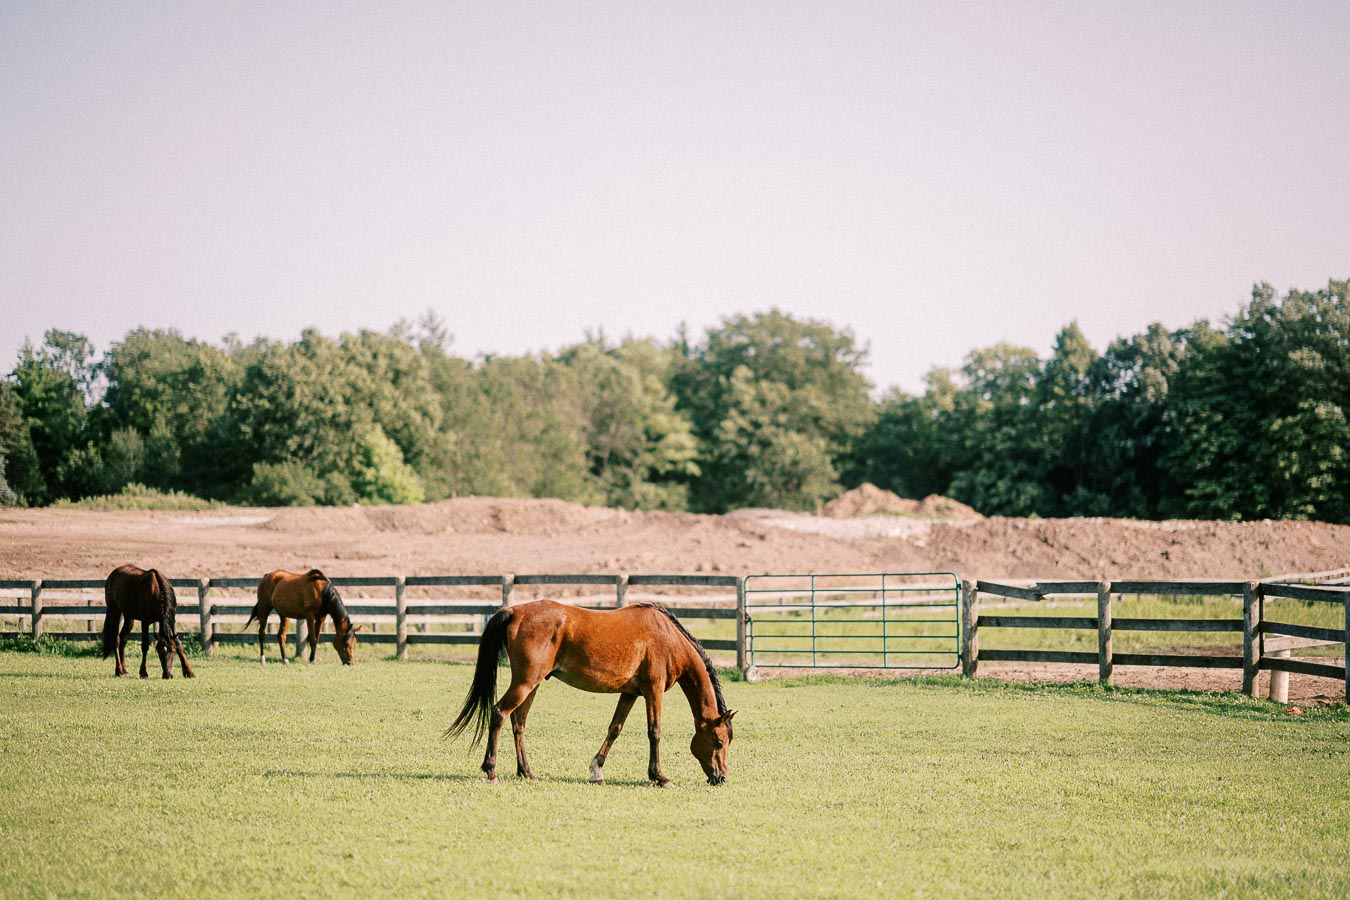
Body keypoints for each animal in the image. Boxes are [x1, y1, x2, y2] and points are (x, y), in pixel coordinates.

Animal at [445, 600, 736, 786]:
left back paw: (526, 771)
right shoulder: (653, 690)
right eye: (719, 742)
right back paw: (491, 771)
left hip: (532, 684)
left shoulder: (631, 693)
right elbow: (654, 732)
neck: (668, 637)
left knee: (519, 722)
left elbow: (614, 729)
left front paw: (597, 771)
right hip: (525, 682)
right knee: (499, 713)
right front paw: (659, 777)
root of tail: (514, 611)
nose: (721, 778)